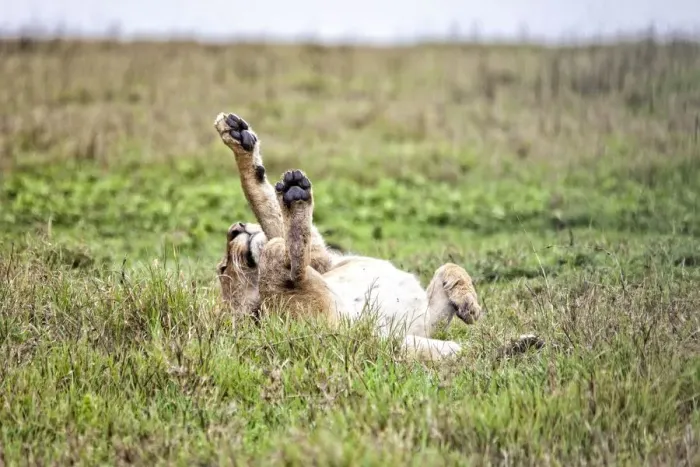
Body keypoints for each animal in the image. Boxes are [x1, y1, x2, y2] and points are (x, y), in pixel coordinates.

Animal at [213, 112, 486, 360]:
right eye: (223, 268)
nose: (234, 229)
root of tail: (359, 336)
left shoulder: (424, 324)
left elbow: (449, 267)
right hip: (326, 326)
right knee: (294, 265)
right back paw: (294, 201)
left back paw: (293, 189)